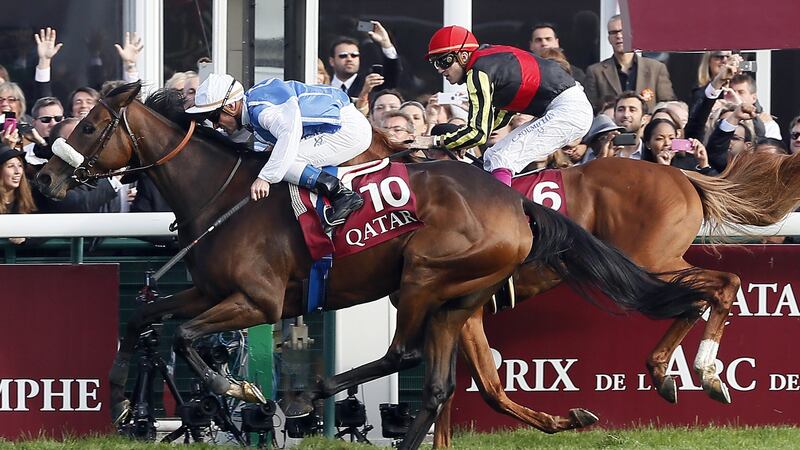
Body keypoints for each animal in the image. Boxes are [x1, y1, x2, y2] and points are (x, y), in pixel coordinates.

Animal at [32, 82, 708, 448]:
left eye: (89, 125)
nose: (44, 177)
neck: (222, 198)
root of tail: (517, 204)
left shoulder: (257, 301)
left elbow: (184, 336)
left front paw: (237, 394)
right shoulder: (208, 291)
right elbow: (144, 319)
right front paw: (125, 401)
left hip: (424, 277)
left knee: (405, 356)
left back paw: (311, 394)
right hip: (460, 296)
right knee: (436, 385)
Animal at [356, 144, 800, 446]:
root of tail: (682, 176)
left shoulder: (459, 310)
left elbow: (481, 389)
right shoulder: (456, 313)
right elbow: (471, 390)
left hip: (651, 260)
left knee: (720, 284)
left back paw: (706, 374)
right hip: (654, 262)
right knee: (694, 297)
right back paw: (663, 373)